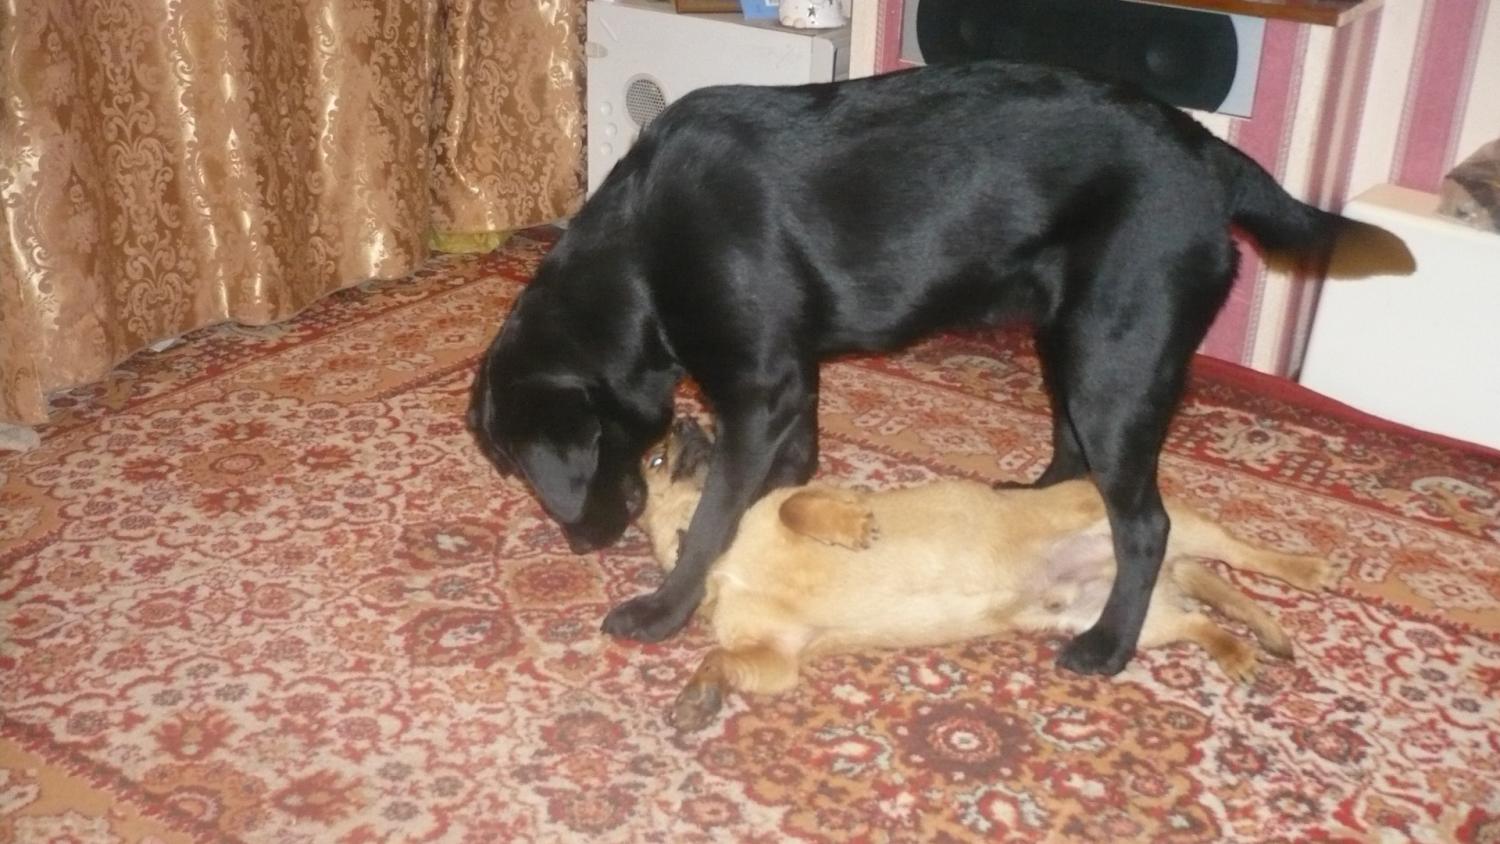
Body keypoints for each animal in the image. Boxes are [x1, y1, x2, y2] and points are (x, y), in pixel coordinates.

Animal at [467, 59, 1411, 675]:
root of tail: (1216, 157)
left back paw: (1107, 646)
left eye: (523, 469)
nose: (583, 543)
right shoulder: (792, 385)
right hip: (1065, 344)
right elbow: (781, 482)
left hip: (1112, 361)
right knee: (1076, 468)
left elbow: (710, 523)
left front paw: (661, 611)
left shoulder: (760, 391)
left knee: (1146, 524)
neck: (640, 262)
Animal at [640, 418, 1332, 731]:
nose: (688, 419)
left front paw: (852, 527)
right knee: (1199, 619)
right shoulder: (776, 659)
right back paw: (1241, 648)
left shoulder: (798, 497)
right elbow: (720, 660)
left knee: (1242, 555)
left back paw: (1304, 568)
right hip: (1112, 619)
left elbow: (798, 504)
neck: (726, 560)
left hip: (1174, 525)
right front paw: (698, 695)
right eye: (655, 459)